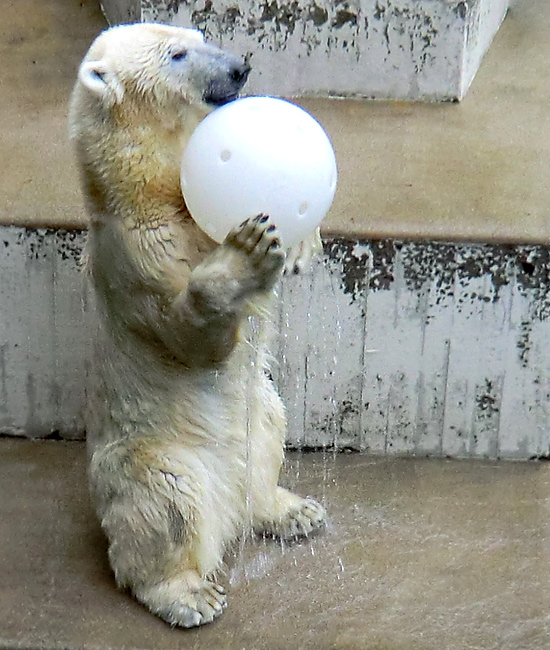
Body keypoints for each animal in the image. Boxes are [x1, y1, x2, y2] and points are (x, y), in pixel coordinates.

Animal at [69, 25, 328, 628]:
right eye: (177, 54)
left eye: (198, 35)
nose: (239, 67)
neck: (151, 188)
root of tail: (227, 514)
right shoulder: (138, 252)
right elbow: (187, 336)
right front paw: (244, 254)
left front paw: (300, 241)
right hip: (159, 454)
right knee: (163, 505)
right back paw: (189, 594)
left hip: (259, 418)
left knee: (269, 438)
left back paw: (290, 510)